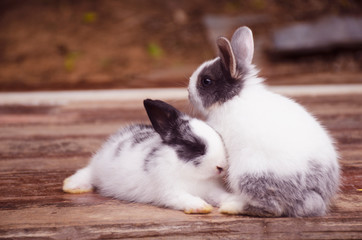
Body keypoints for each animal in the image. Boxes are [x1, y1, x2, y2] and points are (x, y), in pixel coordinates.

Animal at [63, 98, 232, 213]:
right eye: (194, 146)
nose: (221, 167)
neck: (193, 176)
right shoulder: (170, 191)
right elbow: (184, 198)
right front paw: (201, 206)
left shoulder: (211, 190)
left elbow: (220, 196)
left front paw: (232, 202)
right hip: (98, 167)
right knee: (88, 171)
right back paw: (72, 185)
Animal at [188, 26, 340, 218]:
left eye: (206, 81)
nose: (188, 92)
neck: (233, 98)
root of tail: (309, 195)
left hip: (247, 175)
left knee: (272, 208)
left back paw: (232, 207)